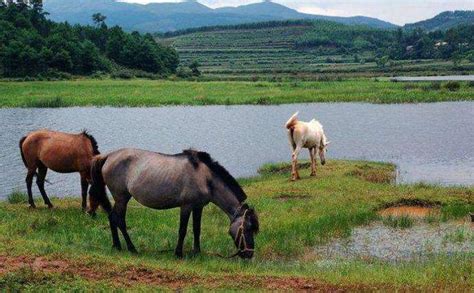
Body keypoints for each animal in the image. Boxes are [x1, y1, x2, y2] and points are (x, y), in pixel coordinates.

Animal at [89, 148, 260, 258]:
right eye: (247, 228)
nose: (249, 254)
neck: (205, 178)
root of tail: (108, 156)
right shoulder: (186, 206)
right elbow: (182, 230)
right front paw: (178, 253)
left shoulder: (198, 207)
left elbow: (196, 229)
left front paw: (197, 252)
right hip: (122, 197)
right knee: (119, 220)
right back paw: (132, 249)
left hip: (121, 198)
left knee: (112, 218)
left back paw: (117, 246)